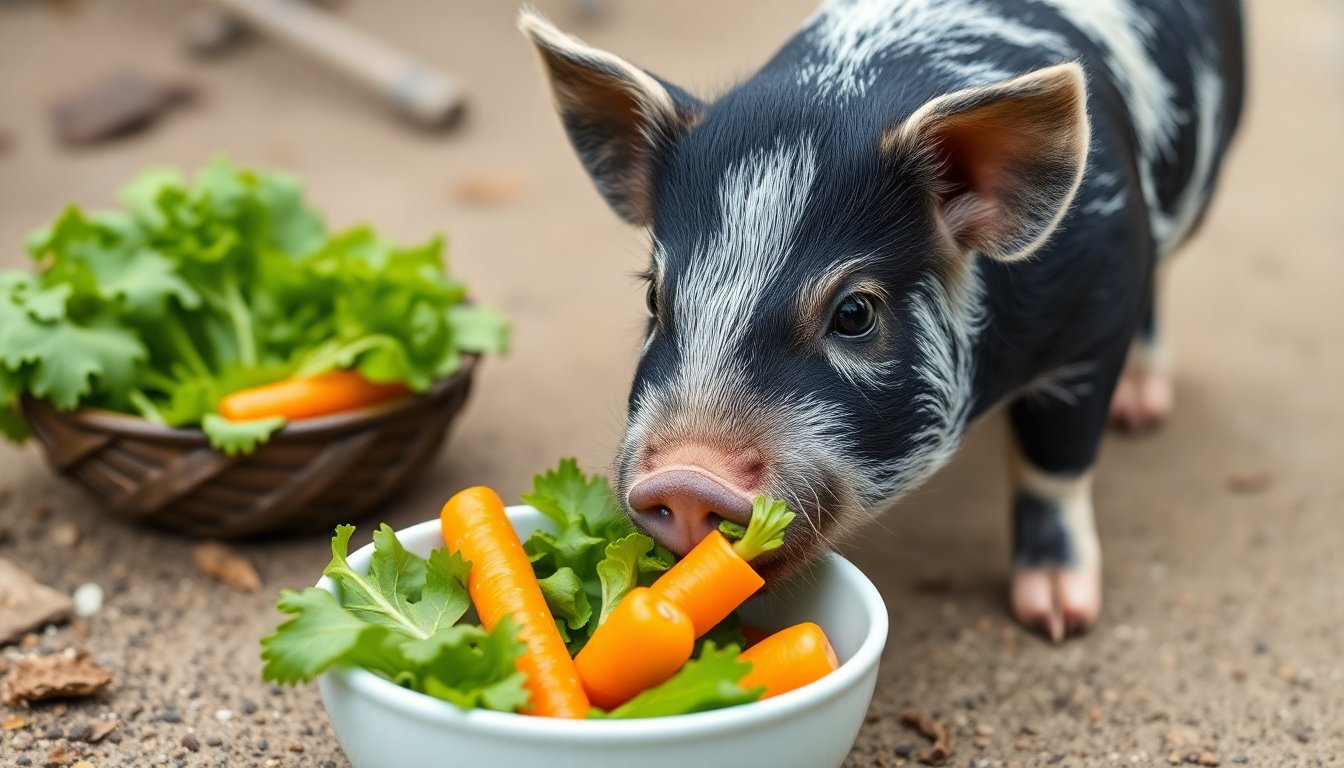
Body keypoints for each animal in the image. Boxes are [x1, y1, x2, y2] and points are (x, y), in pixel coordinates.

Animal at [520, 0, 1244, 641]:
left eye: (855, 313)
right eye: (654, 298)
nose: (688, 475)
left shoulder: (1096, 310)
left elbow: (1055, 465)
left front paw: (1059, 619)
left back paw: (1140, 411)